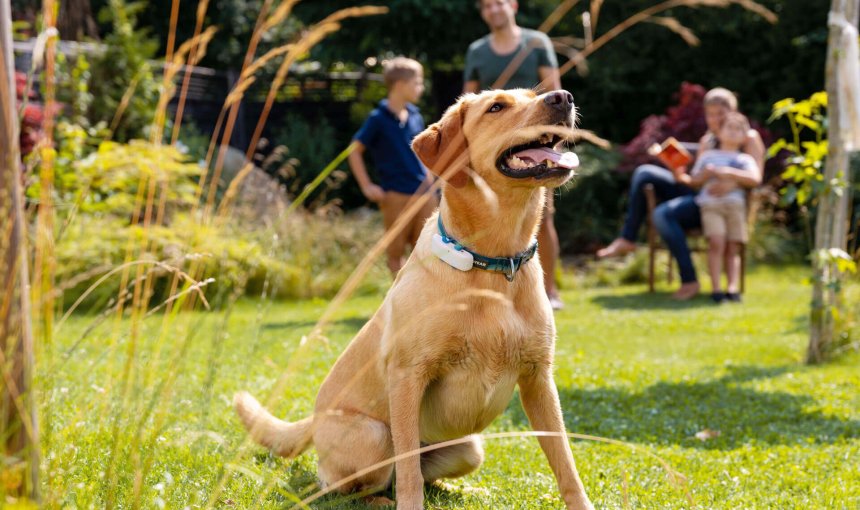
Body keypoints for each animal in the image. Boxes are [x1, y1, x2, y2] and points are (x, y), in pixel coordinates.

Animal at [239, 89, 596, 508]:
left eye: (533, 94)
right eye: (496, 107)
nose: (563, 97)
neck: (494, 264)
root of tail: (313, 419)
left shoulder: (539, 378)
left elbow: (565, 462)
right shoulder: (408, 375)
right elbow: (407, 467)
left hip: (469, 447)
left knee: (425, 477)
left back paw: (463, 489)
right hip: (375, 438)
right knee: (340, 484)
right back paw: (378, 500)